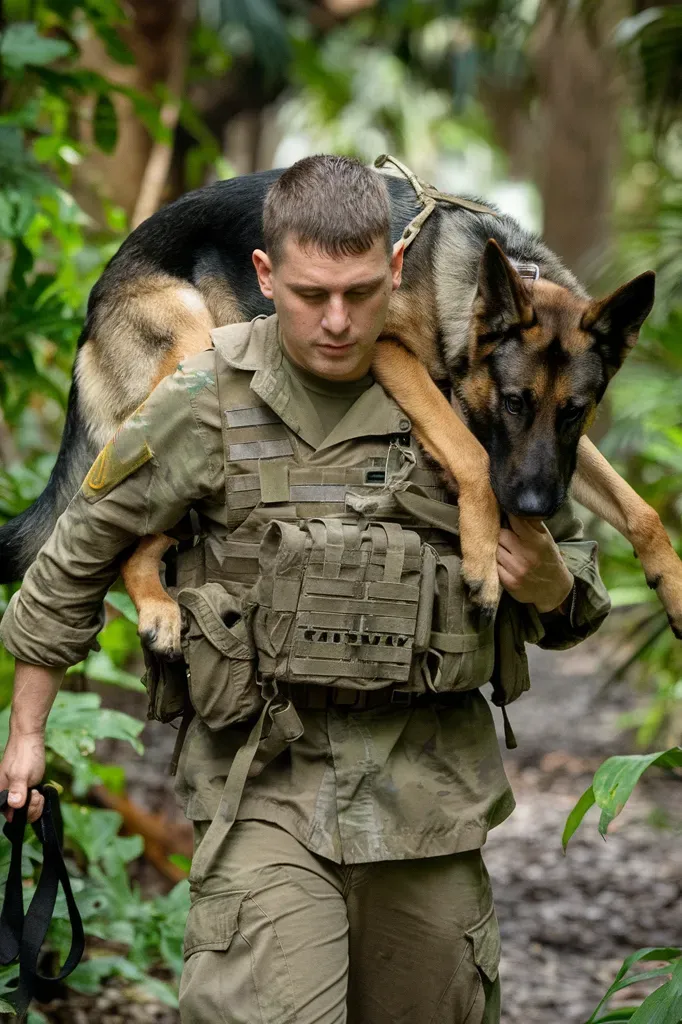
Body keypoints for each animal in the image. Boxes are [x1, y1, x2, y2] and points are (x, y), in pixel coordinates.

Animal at [2, 159, 675, 655]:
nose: (537, 507)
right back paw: (158, 609)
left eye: (574, 412)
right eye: (514, 403)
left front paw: (673, 586)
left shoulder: (562, 455)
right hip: (189, 349)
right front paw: (484, 557)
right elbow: (469, 454)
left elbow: (639, 509)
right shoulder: (391, 353)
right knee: (129, 538)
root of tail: (94, 299)